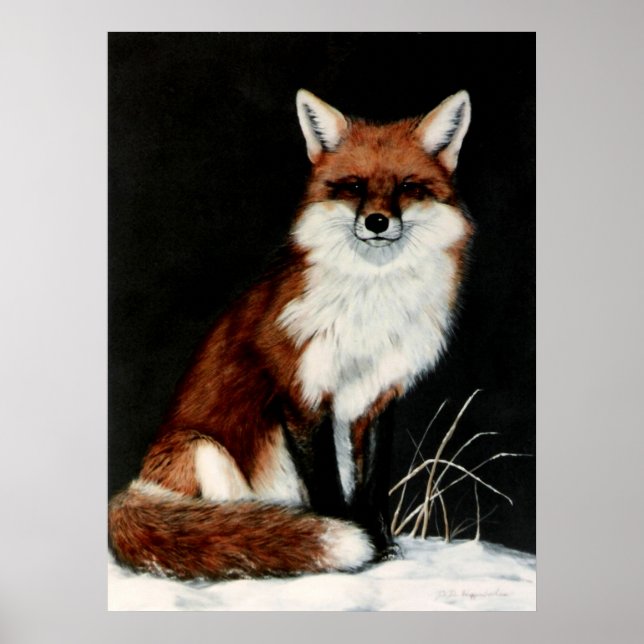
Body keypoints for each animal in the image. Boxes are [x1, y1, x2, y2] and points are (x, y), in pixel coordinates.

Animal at [108, 88, 474, 580]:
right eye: (354, 186)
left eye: (406, 187)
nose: (377, 222)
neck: (371, 307)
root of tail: (133, 487)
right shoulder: (304, 393)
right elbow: (327, 486)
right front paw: (353, 543)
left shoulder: (377, 398)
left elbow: (372, 486)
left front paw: (380, 544)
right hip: (201, 448)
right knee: (222, 518)